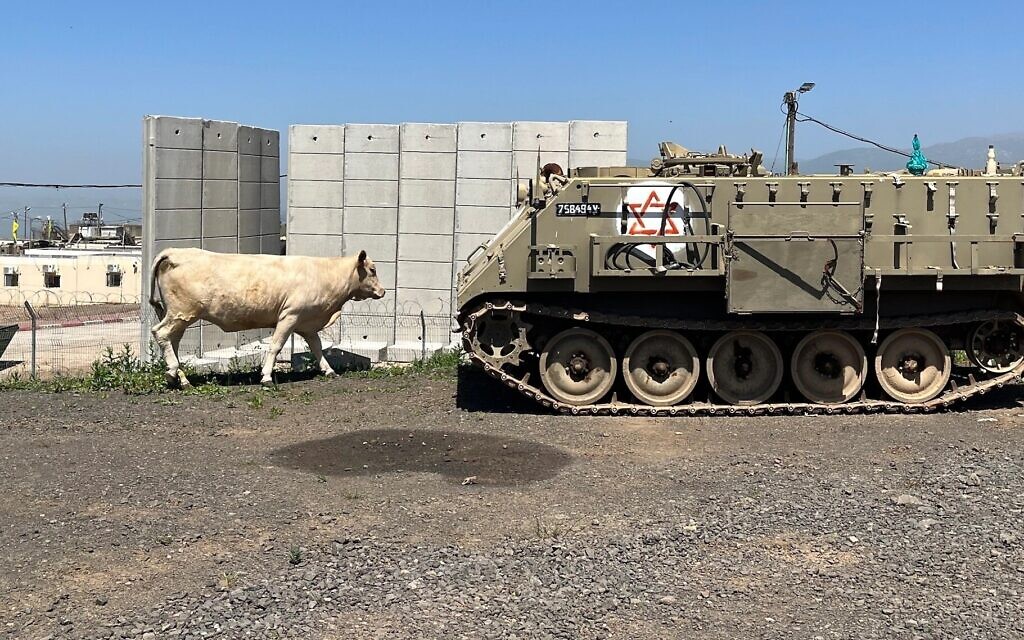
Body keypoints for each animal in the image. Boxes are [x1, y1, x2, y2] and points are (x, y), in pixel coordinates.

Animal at [148, 248, 385, 388]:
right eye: (372, 270)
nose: (383, 291)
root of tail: (174, 252)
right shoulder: (289, 316)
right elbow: (275, 347)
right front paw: (267, 377)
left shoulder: (307, 323)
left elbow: (317, 348)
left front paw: (329, 370)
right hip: (182, 312)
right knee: (160, 333)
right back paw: (173, 372)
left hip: (179, 316)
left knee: (172, 341)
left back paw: (180, 379)